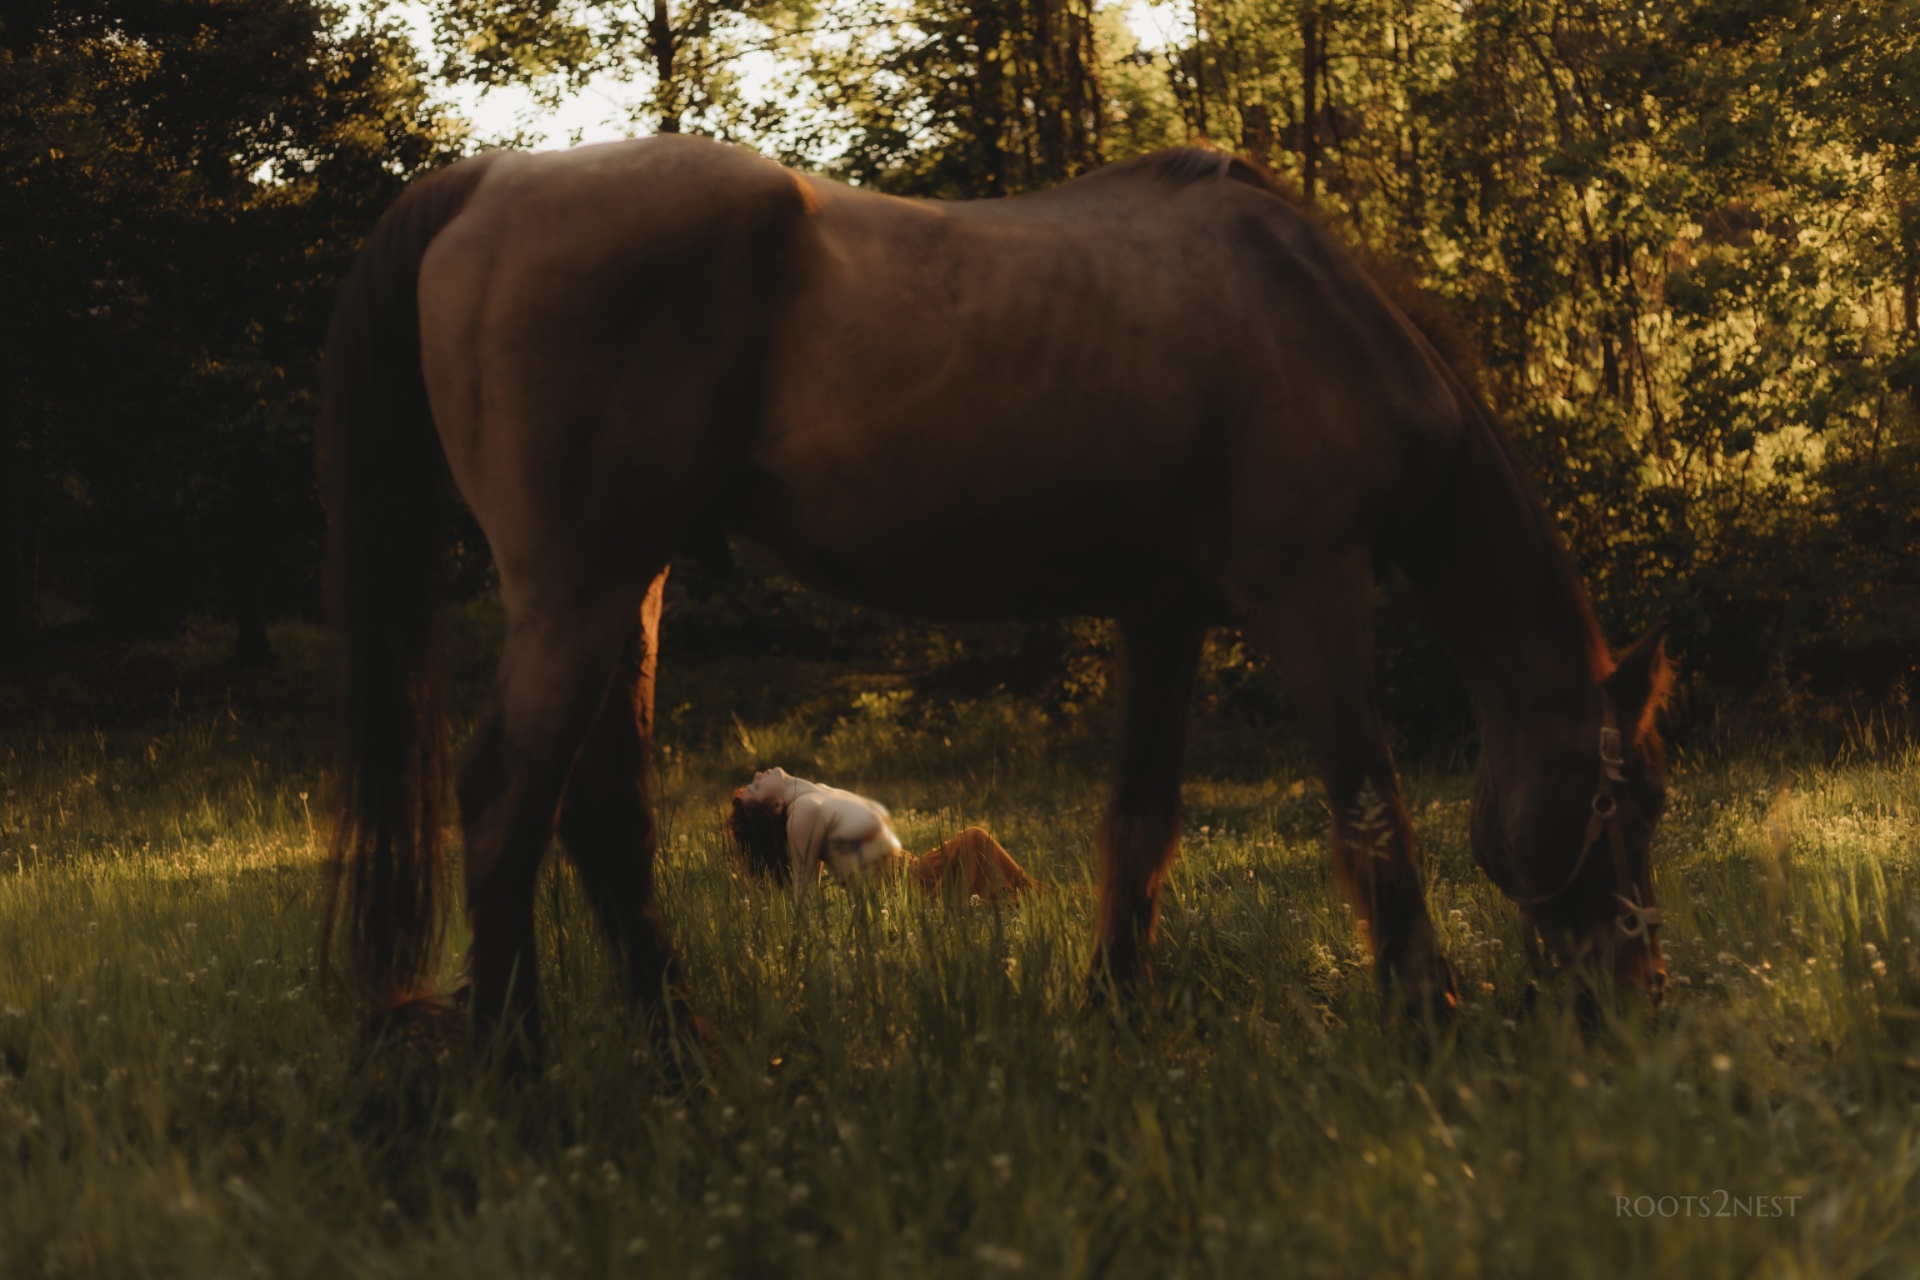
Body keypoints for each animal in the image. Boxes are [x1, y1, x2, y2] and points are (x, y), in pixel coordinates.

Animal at [319, 135, 1672, 1049]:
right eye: (1636, 801)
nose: (1638, 990)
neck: (1312, 312)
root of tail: (487, 181)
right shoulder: (1313, 593)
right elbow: (1374, 814)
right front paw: (1429, 1015)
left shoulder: (1163, 612)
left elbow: (1140, 823)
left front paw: (1115, 1012)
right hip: (577, 589)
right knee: (508, 803)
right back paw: (524, 1075)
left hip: (626, 587)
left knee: (603, 813)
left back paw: (682, 1054)